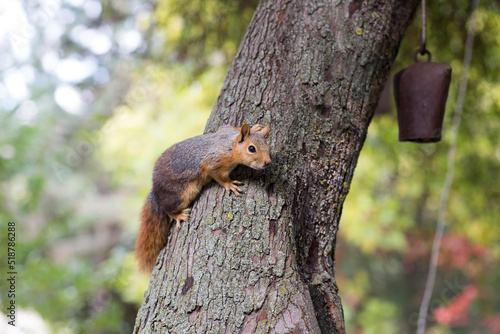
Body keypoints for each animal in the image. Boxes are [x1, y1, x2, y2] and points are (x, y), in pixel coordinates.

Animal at [135, 124, 272, 272]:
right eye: (251, 148)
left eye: (268, 146)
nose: (268, 162)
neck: (229, 144)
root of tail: (155, 190)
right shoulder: (213, 162)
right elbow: (218, 176)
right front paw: (230, 185)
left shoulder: (224, 130)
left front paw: (255, 128)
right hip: (181, 195)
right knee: (168, 209)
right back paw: (178, 215)